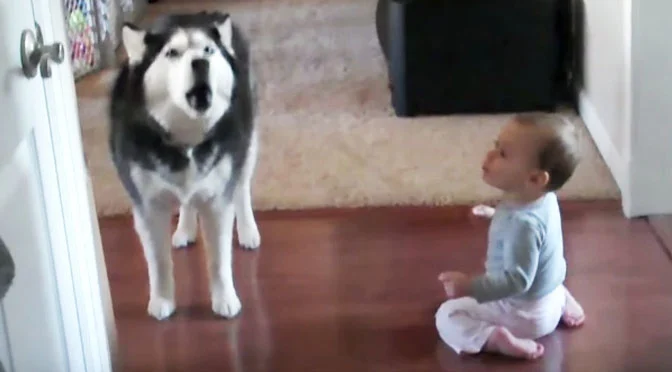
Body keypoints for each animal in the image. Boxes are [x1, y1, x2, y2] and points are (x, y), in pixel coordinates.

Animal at [107, 11, 260, 320]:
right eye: (172, 53)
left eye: (208, 50)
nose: (200, 62)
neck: (186, 137)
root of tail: (203, 13)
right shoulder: (148, 207)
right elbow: (158, 261)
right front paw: (162, 300)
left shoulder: (218, 201)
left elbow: (219, 259)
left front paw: (225, 299)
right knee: (188, 202)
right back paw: (185, 230)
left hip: (248, 146)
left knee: (241, 188)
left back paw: (248, 229)